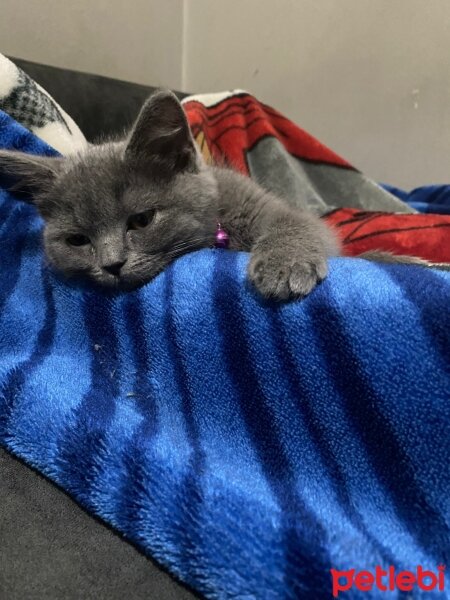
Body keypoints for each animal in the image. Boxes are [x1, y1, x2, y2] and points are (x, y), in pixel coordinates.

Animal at [0, 89, 428, 300]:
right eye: (77, 240)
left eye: (142, 219)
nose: (112, 265)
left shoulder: (273, 208)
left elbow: (299, 225)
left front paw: (283, 264)